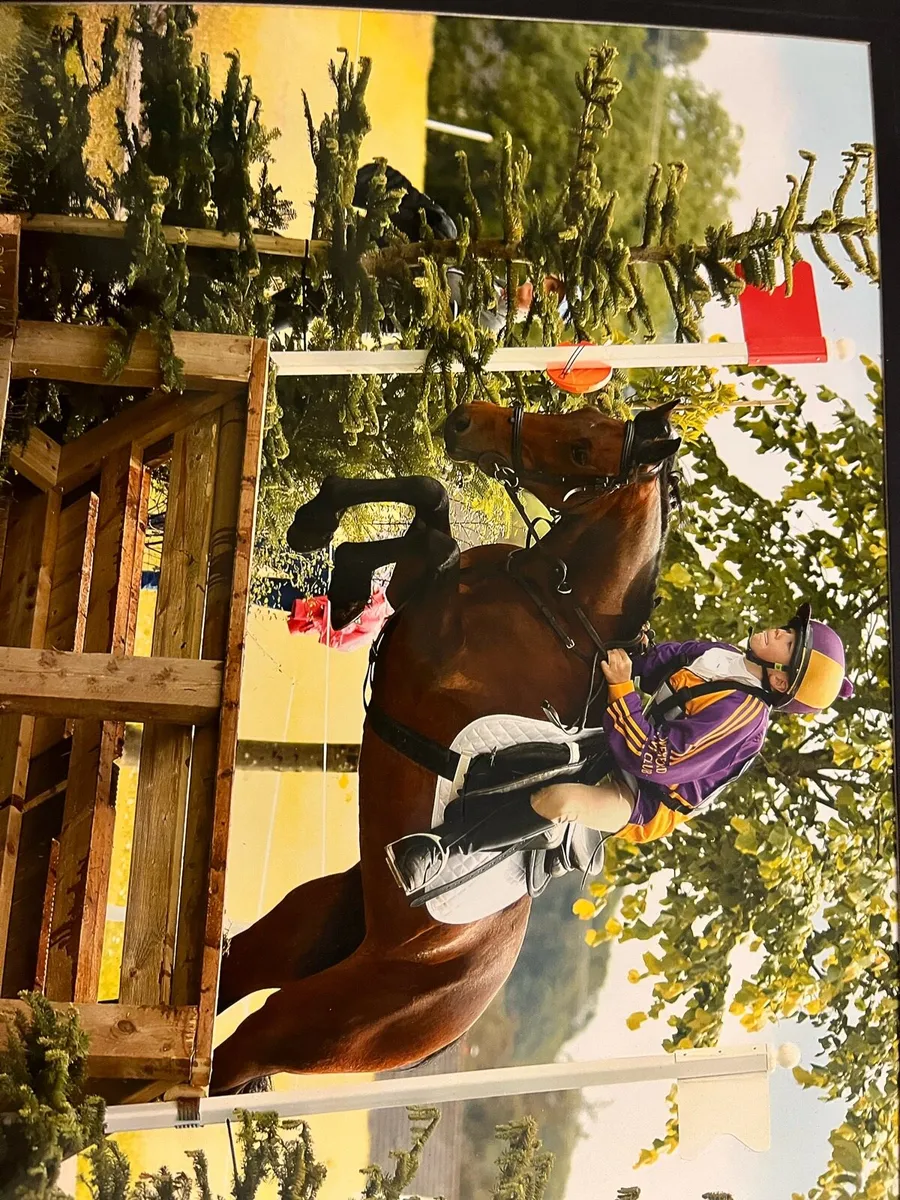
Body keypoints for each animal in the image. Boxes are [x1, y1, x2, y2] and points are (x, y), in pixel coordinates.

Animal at [209, 399, 681, 1091]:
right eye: (579, 413)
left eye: (581, 453)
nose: (468, 419)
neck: (554, 608)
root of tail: (455, 1019)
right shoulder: (422, 591)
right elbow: (432, 513)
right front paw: (328, 545)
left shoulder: (432, 644)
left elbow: (437, 526)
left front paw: (332, 553)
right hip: (304, 929)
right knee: (235, 972)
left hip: (295, 1027)